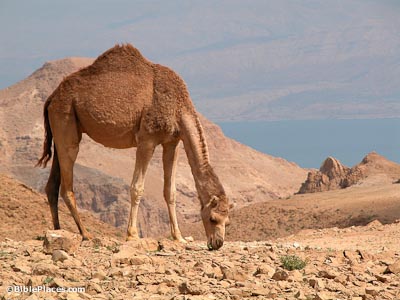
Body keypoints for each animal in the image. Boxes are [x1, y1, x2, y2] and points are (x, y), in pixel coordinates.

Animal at [37, 44, 231, 251]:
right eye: (213, 218)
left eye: (227, 222)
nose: (218, 243)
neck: (178, 107)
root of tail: (51, 98)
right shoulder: (147, 139)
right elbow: (137, 187)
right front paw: (132, 235)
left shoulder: (172, 142)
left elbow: (170, 191)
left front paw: (179, 237)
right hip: (66, 119)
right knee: (67, 184)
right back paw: (85, 234)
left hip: (61, 130)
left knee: (52, 185)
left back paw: (57, 231)